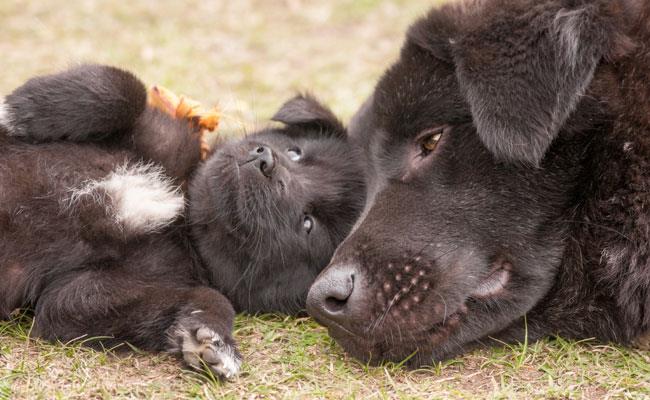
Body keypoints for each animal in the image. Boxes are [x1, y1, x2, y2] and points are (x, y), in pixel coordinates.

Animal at [0, 65, 364, 378]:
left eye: (308, 223)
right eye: (295, 152)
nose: (266, 161)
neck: (182, 213)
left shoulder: (82, 292)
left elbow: (208, 296)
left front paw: (212, 339)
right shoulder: (162, 133)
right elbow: (123, 87)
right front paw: (16, 111)